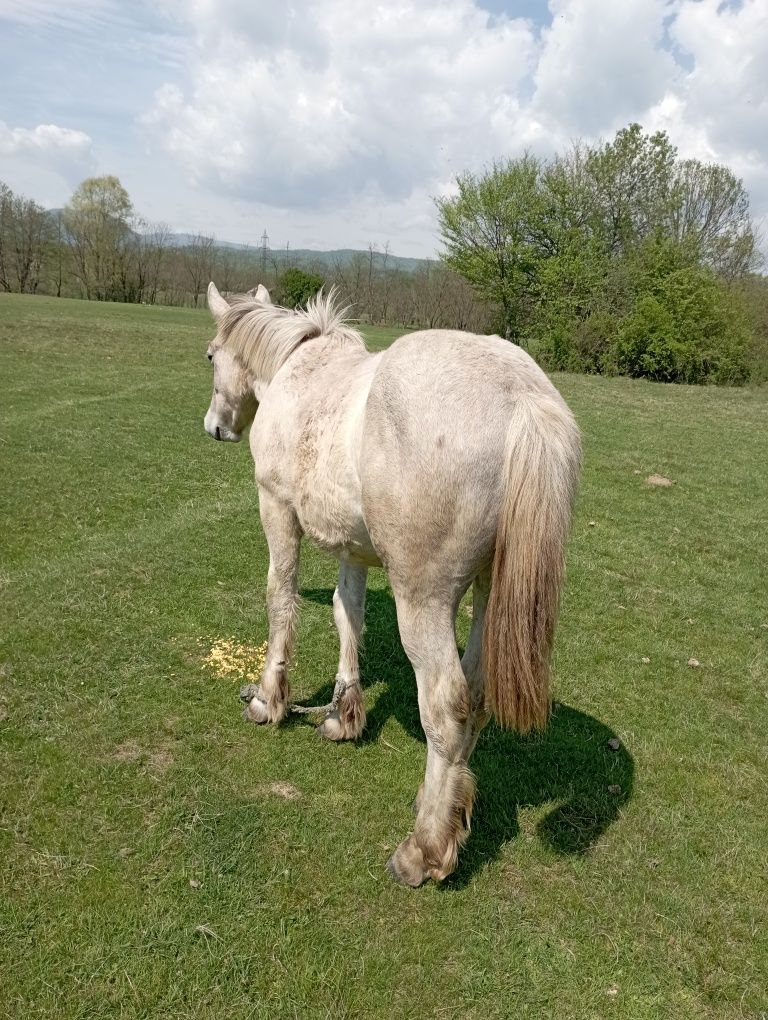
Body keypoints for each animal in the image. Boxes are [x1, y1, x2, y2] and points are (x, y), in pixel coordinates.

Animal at [200, 281, 579, 885]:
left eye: (211, 355)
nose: (216, 426)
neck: (298, 369)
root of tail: (522, 401)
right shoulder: (353, 547)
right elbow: (346, 613)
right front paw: (342, 714)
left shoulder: (275, 508)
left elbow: (281, 598)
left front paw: (267, 700)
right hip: (489, 590)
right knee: (474, 694)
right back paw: (443, 809)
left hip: (423, 599)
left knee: (447, 705)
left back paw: (424, 848)